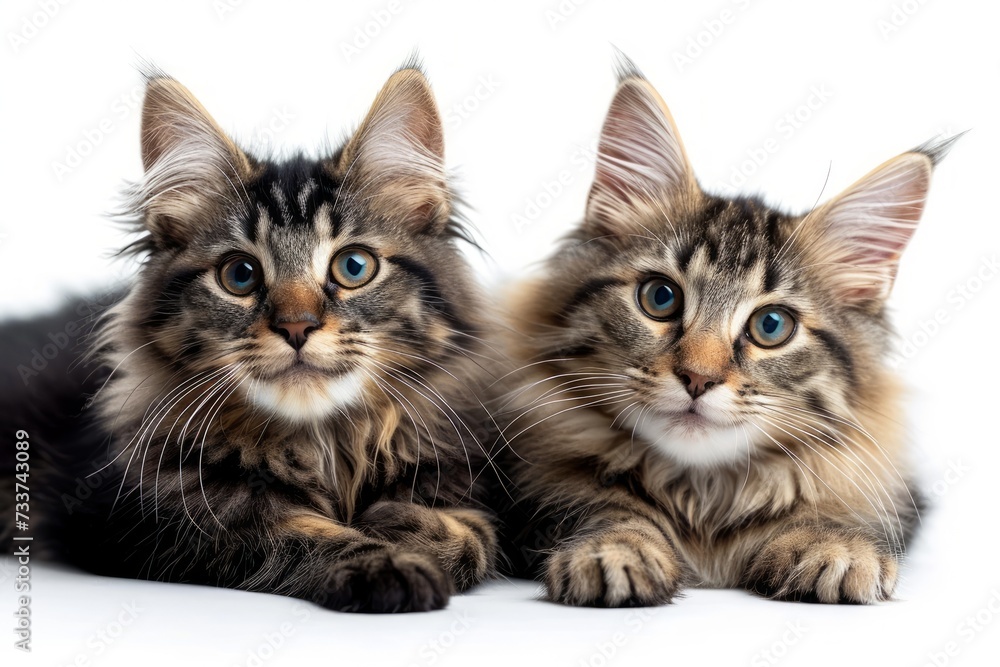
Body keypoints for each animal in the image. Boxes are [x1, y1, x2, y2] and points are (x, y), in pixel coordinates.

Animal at [0, 65, 500, 612]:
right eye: (239, 275)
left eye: (354, 267)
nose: (296, 326)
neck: (323, 445)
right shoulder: (144, 517)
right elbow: (289, 533)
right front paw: (386, 560)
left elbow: (476, 534)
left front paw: (405, 525)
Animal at [500, 60, 952, 608]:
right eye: (660, 298)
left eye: (771, 326)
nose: (698, 378)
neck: (702, 496)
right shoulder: (538, 491)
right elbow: (604, 507)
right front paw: (617, 549)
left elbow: (823, 511)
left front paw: (834, 547)